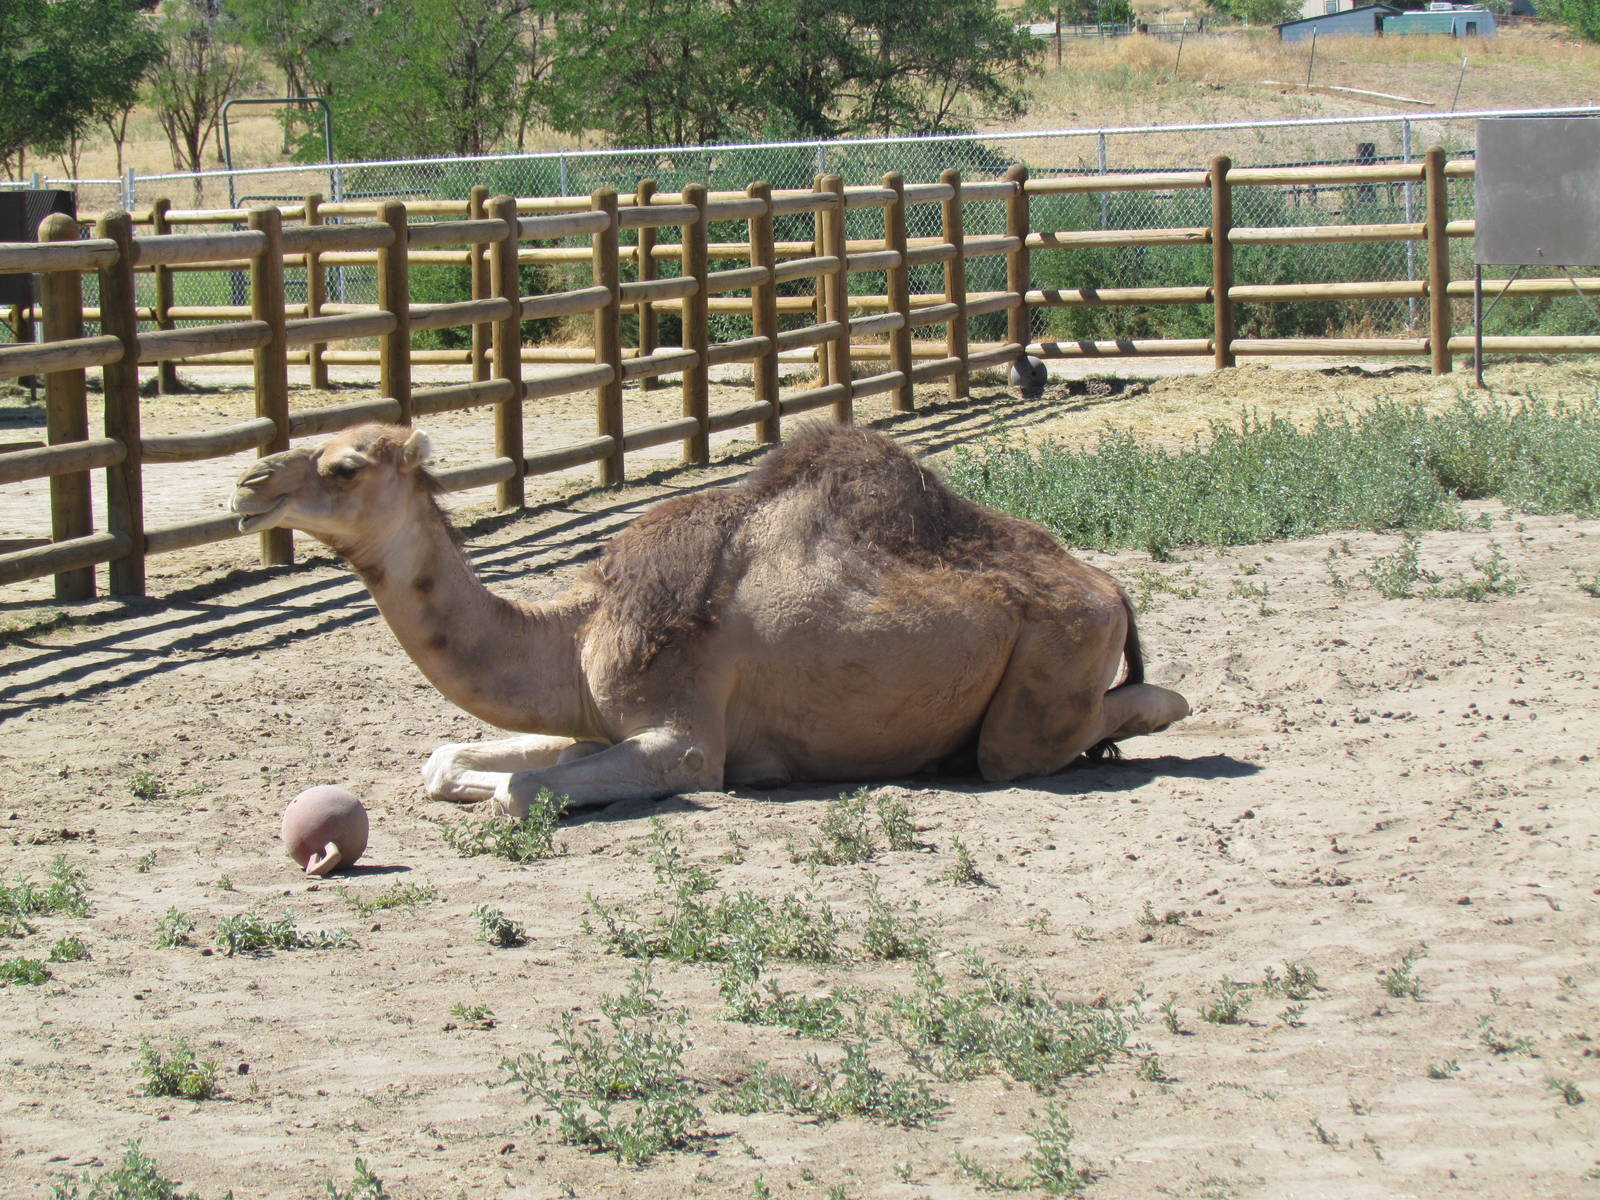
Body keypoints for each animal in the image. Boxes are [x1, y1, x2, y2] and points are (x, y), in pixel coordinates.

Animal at [230, 422, 1189, 817]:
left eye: (346, 465)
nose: (249, 484)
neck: (580, 628)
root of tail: (1108, 586)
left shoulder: (688, 738)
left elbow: (522, 791)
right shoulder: (596, 716)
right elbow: (449, 762)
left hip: (1053, 657)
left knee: (1049, 738)